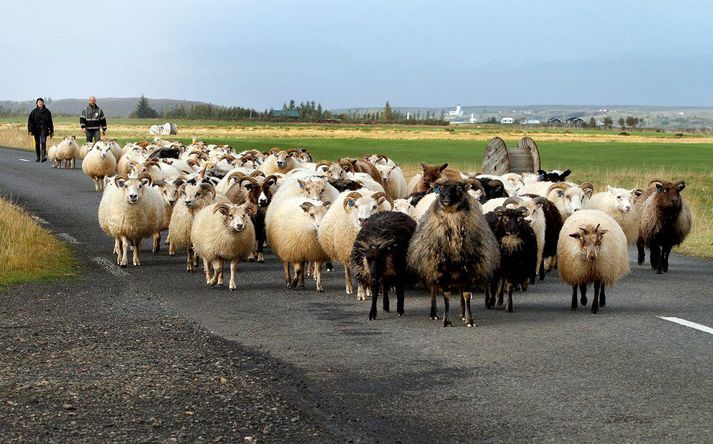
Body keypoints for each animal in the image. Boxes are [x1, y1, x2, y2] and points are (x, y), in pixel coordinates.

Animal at [406, 179, 500, 328]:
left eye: (460, 189)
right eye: (441, 188)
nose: (445, 197)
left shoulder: (469, 269)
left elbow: (466, 295)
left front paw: (469, 320)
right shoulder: (442, 270)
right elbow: (446, 296)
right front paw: (446, 320)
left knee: (461, 292)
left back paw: (462, 314)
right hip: (431, 267)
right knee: (433, 290)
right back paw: (433, 313)